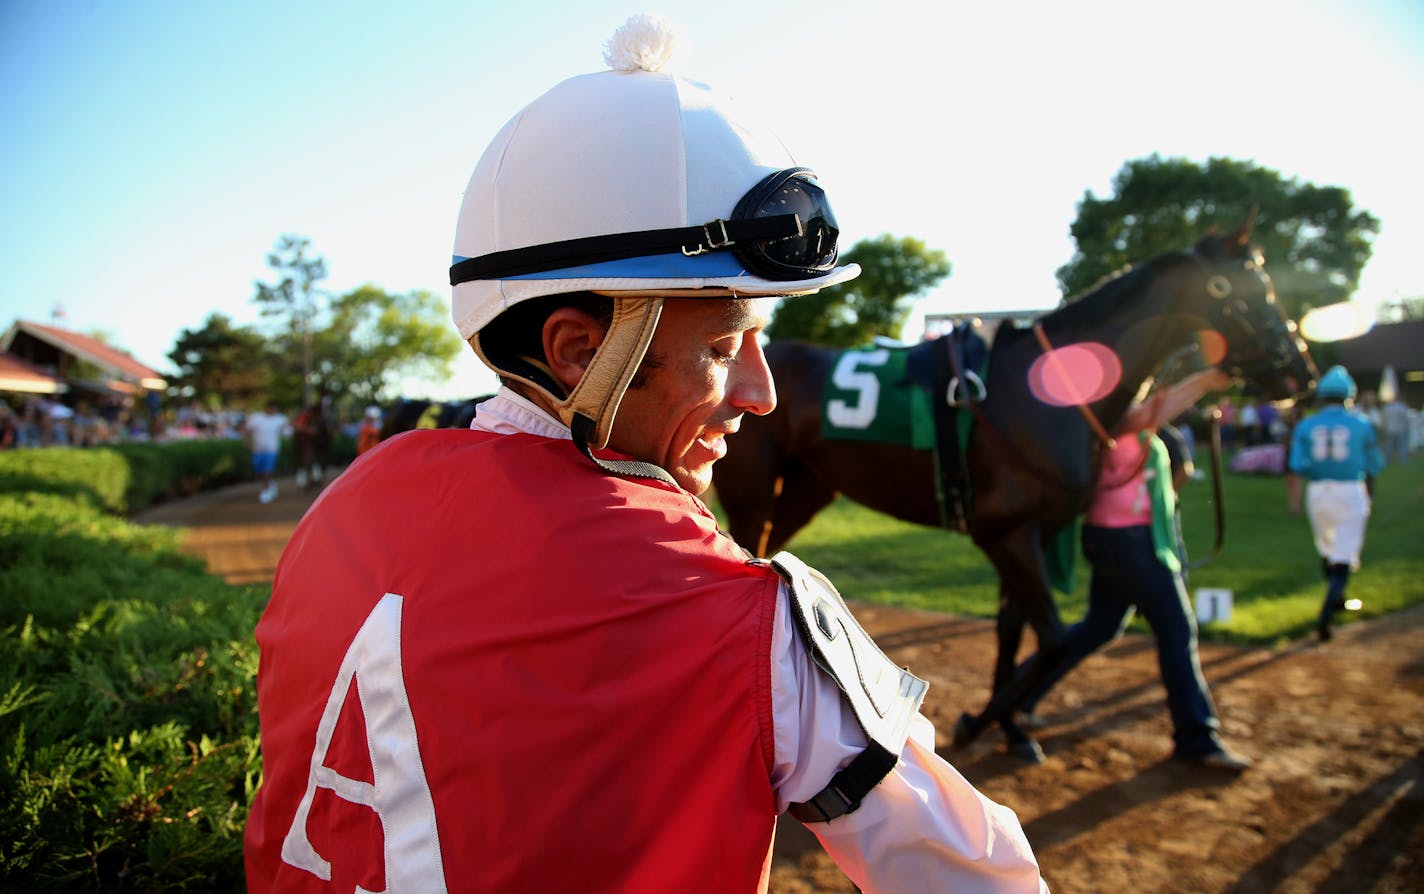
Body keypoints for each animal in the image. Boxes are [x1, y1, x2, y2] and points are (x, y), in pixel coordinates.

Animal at [717, 224, 1315, 763]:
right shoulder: (1006, 533)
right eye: (1249, 289)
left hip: (806, 490)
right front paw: (978, 721)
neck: (1042, 392)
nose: (1301, 372)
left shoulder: (1032, 534)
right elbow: (1055, 639)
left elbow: (1013, 629)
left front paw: (1011, 729)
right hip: (751, 492)